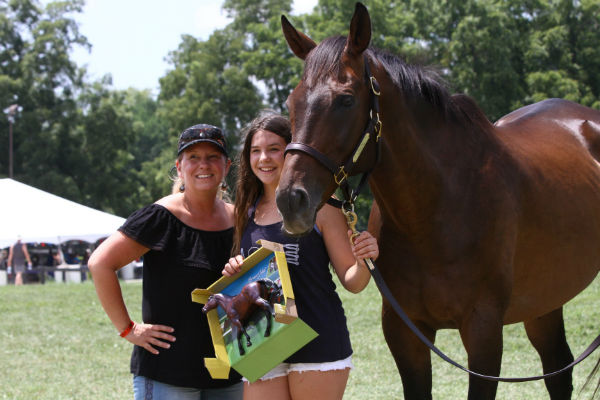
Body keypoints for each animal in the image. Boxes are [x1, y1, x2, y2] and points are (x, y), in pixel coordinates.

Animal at [276, 3, 600, 400]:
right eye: (292, 101)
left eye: (346, 99)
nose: (291, 199)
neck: (433, 211)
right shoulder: (404, 331)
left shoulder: (483, 331)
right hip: (543, 300)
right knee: (557, 367)